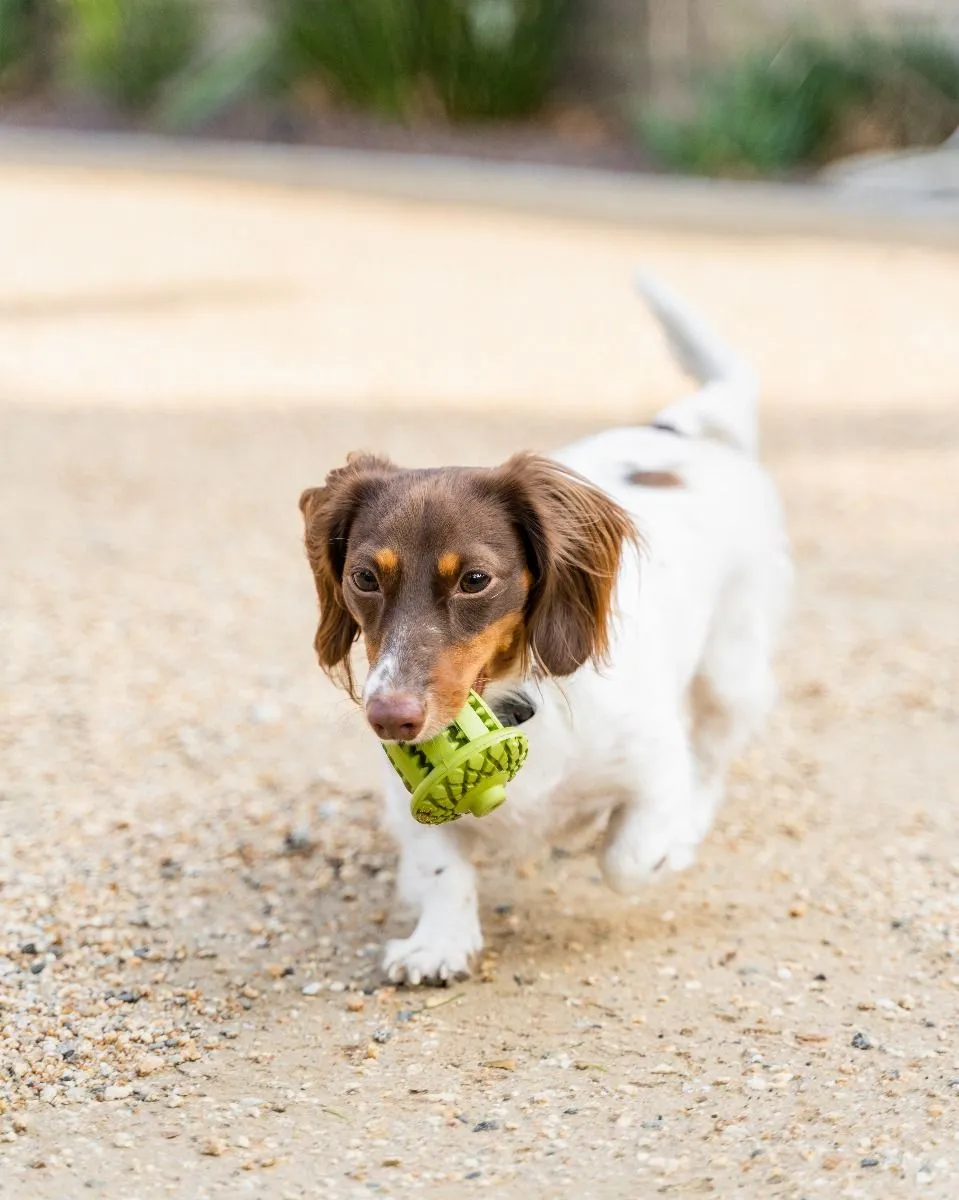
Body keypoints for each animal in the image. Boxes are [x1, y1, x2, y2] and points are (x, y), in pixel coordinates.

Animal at [302, 278, 796, 984]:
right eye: (365, 578)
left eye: (475, 580)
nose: (389, 718)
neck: (515, 700)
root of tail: (677, 430)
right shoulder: (405, 802)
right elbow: (439, 862)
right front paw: (438, 941)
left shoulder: (653, 765)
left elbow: (628, 857)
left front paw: (665, 846)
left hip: (734, 669)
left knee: (712, 754)